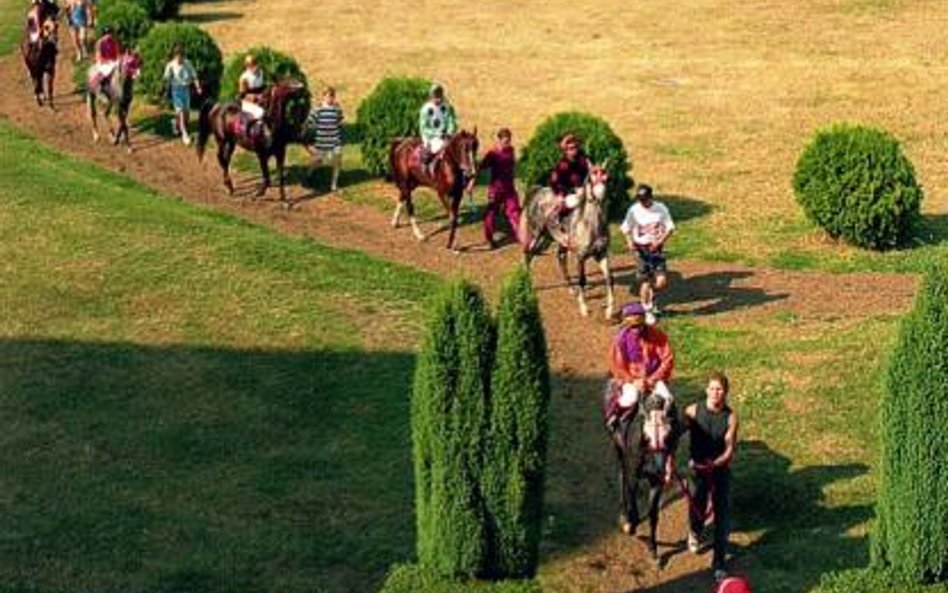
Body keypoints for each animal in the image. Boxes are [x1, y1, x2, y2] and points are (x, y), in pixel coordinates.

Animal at [520, 162, 616, 320]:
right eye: (591, 179)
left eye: (607, 178)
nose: (601, 197)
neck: (592, 225)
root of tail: (537, 190)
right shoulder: (580, 257)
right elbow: (582, 280)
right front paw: (584, 309)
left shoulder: (602, 254)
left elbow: (609, 278)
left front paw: (609, 311)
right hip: (537, 235)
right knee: (528, 254)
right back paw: (526, 283)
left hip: (548, 240)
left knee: (560, 259)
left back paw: (571, 289)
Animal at [604, 388, 676, 564]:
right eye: (646, 435)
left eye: (668, 434)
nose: (659, 468)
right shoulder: (633, 474)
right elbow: (631, 495)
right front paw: (630, 523)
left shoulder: (656, 483)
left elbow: (653, 514)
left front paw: (654, 550)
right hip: (620, 452)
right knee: (622, 476)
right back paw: (625, 515)